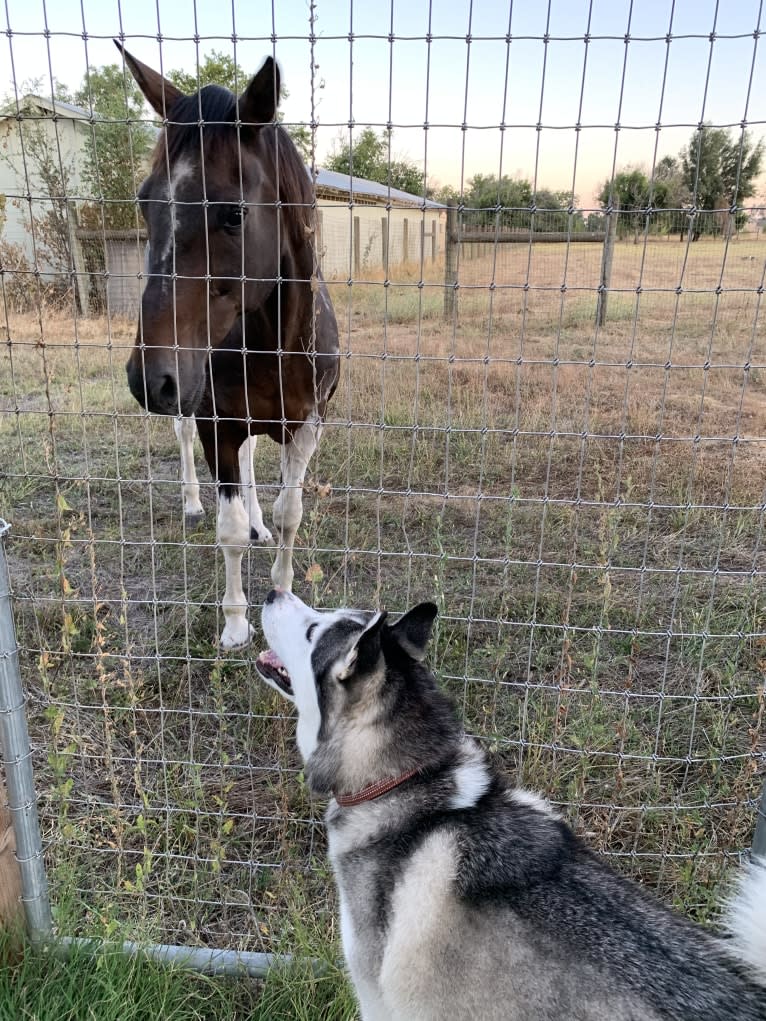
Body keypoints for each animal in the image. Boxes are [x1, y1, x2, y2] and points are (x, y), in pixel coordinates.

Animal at [121, 45, 341, 645]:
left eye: (235, 213)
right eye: (145, 202)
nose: (150, 380)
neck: (276, 346)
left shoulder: (306, 427)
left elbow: (290, 515)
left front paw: (283, 595)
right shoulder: (212, 422)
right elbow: (230, 529)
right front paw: (237, 623)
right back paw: (194, 504)